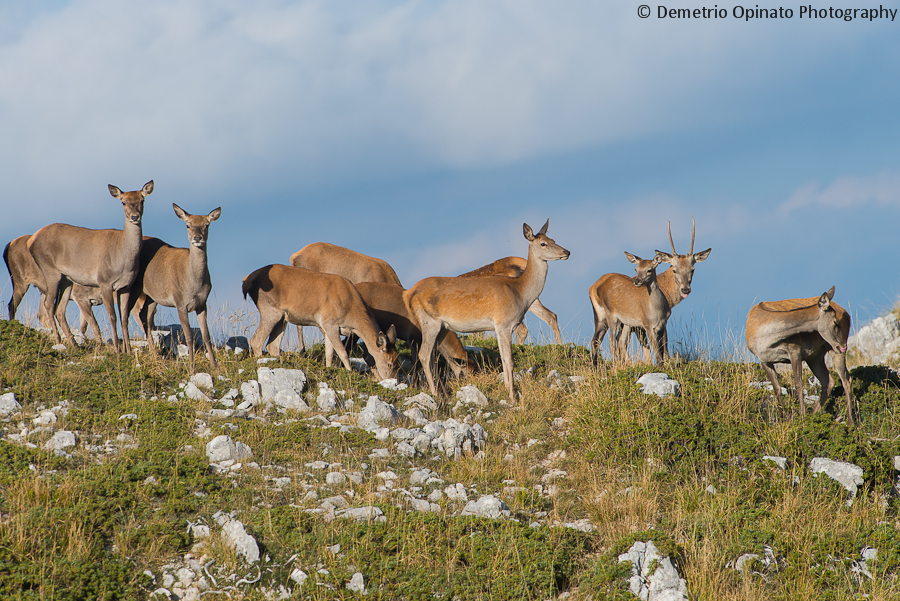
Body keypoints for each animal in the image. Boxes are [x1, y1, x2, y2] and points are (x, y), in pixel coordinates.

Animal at [25, 180, 153, 354]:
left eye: (142, 200)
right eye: (123, 202)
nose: (135, 216)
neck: (123, 260)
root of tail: (31, 240)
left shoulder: (126, 286)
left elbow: (124, 317)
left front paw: (128, 350)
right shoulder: (105, 282)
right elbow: (112, 316)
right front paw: (117, 350)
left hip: (67, 280)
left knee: (60, 309)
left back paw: (74, 344)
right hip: (50, 270)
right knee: (49, 305)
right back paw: (59, 341)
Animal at [241, 266, 400, 382]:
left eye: (398, 363)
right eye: (389, 363)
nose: (394, 381)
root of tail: (247, 282)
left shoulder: (327, 327)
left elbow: (329, 353)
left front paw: (329, 370)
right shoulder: (330, 323)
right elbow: (342, 352)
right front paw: (349, 372)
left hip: (283, 318)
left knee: (272, 345)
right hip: (270, 309)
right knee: (256, 341)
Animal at [404, 218, 568, 400]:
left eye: (553, 239)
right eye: (543, 243)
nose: (567, 251)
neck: (520, 291)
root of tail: (410, 293)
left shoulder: (499, 327)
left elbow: (503, 358)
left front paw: (507, 388)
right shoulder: (504, 323)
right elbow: (509, 360)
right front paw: (513, 396)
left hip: (439, 326)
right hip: (429, 320)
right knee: (424, 354)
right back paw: (435, 393)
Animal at [748, 286, 856, 426]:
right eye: (834, 321)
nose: (843, 346)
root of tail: (846, 313)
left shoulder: (795, 350)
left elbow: (798, 384)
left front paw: (802, 417)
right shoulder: (764, 360)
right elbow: (777, 389)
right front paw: (785, 418)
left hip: (832, 349)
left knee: (846, 379)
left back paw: (851, 422)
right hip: (815, 356)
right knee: (828, 380)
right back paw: (814, 415)